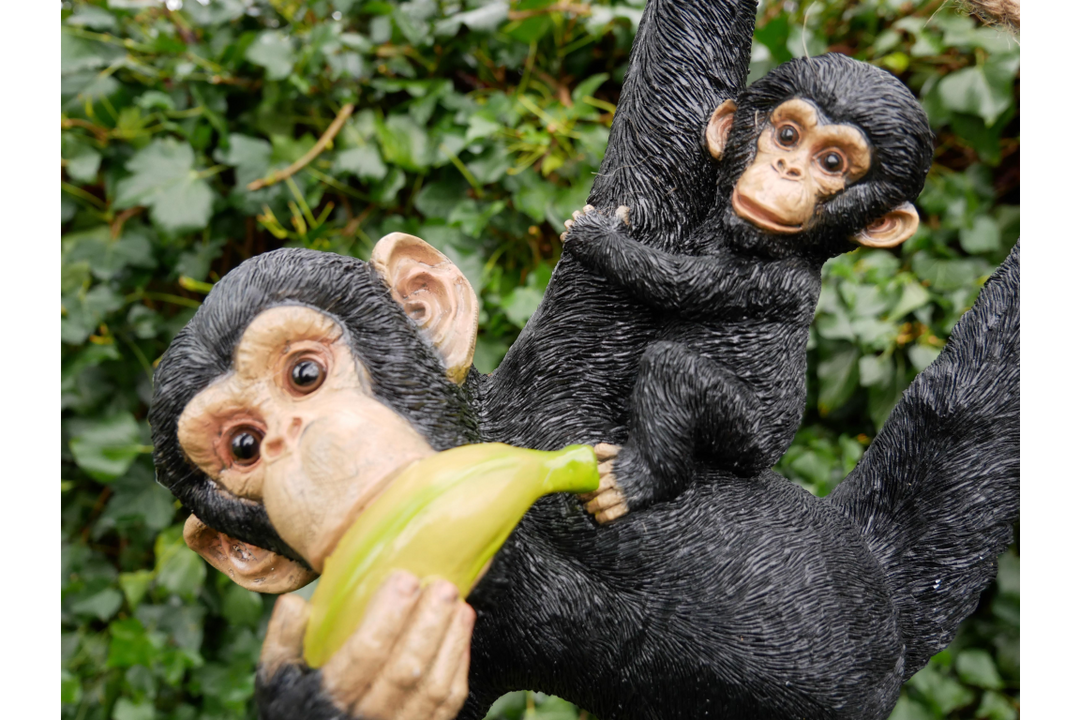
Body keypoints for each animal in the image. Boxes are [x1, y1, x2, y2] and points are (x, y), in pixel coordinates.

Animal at [559, 54, 934, 523]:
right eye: (788, 135)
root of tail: (768, 457)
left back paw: (637, 481)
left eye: (832, 162)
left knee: (672, 368)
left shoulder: (771, 279)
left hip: (747, 433)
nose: (787, 169)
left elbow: (673, 280)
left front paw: (595, 236)